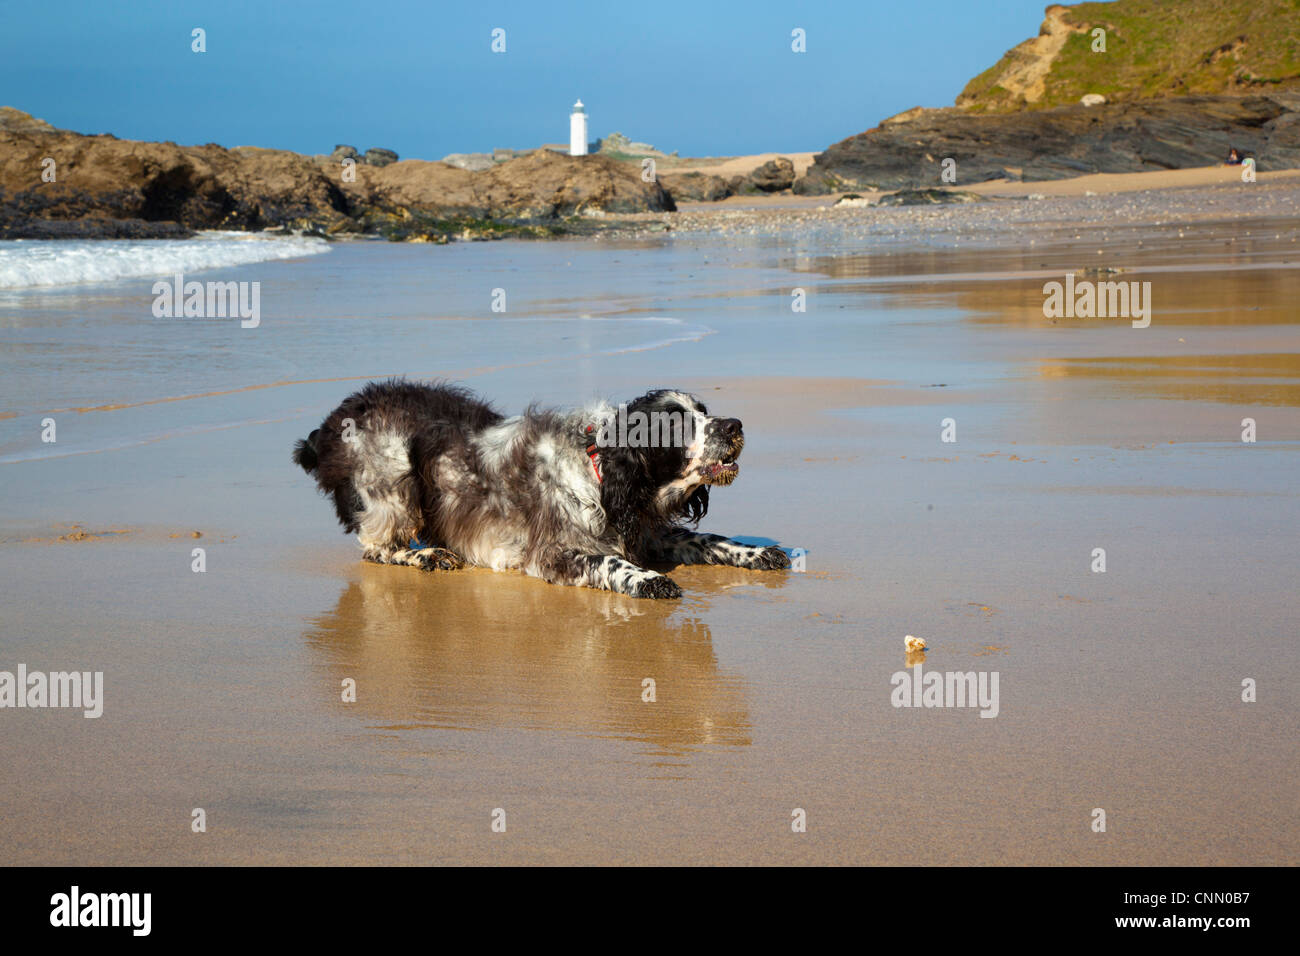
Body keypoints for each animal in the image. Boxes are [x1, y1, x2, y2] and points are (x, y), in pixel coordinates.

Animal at [289, 382, 785, 598]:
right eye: (675, 424)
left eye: (704, 410)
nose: (735, 425)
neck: (599, 470)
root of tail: (326, 429)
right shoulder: (553, 553)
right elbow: (608, 561)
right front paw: (647, 579)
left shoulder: (646, 529)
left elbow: (708, 539)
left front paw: (757, 552)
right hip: (394, 478)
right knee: (375, 548)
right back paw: (427, 555)